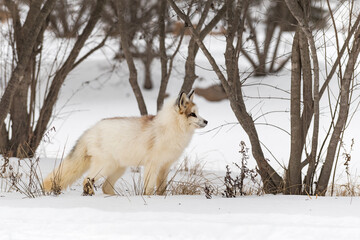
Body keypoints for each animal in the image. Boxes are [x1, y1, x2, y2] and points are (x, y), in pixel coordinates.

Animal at [42, 91, 207, 196]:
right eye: (193, 114)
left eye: (198, 113)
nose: (206, 121)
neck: (170, 129)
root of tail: (91, 129)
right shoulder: (152, 165)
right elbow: (148, 190)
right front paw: (149, 200)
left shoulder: (165, 166)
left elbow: (161, 190)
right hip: (105, 166)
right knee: (87, 179)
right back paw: (90, 193)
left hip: (118, 169)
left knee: (105, 187)